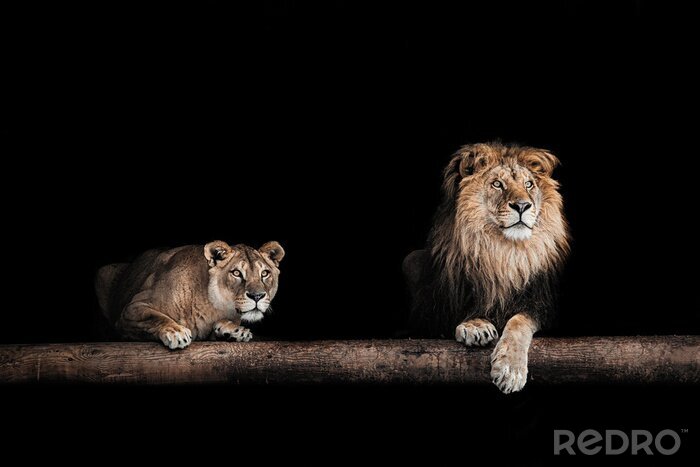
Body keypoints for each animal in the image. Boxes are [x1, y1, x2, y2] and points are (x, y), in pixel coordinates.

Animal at [95, 240, 285, 349]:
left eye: (265, 273)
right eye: (236, 273)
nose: (257, 296)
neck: (213, 306)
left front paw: (235, 331)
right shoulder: (132, 309)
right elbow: (155, 317)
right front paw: (176, 332)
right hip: (103, 272)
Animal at [404, 142, 570, 393]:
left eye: (528, 184)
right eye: (497, 184)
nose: (522, 205)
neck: (501, 253)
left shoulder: (542, 304)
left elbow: (519, 321)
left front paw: (510, 370)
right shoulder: (430, 315)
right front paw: (476, 326)